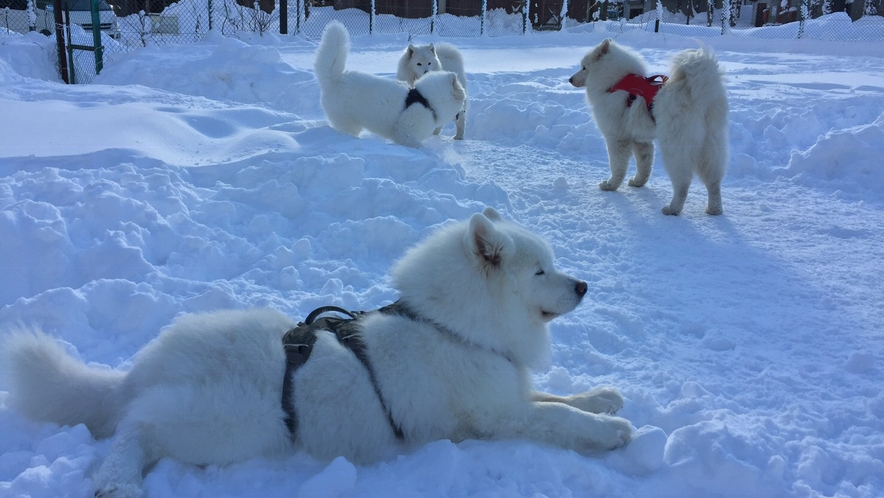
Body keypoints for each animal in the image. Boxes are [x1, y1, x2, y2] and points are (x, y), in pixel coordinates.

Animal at [1, 207, 636, 498]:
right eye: (541, 271)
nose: (584, 286)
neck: (454, 325)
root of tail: (144, 368)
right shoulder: (494, 416)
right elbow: (555, 417)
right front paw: (609, 432)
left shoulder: (510, 389)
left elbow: (560, 397)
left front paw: (603, 398)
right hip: (228, 425)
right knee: (136, 428)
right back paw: (118, 481)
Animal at [312, 21, 466, 148]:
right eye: (462, 100)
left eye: (429, 63)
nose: (464, 112)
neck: (426, 100)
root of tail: (335, 78)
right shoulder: (404, 133)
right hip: (347, 122)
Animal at [568, 39, 728, 216]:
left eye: (584, 67)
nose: (570, 79)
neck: (615, 82)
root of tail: (701, 96)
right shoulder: (641, 140)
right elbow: (644, 166)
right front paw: (638, 182)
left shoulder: (617, 138)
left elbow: (617, 166)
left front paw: (610, 185)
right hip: (710, 147)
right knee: (713, 180)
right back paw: (714, 209)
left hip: (675, 148)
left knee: (683, 182)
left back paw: (673, 209)